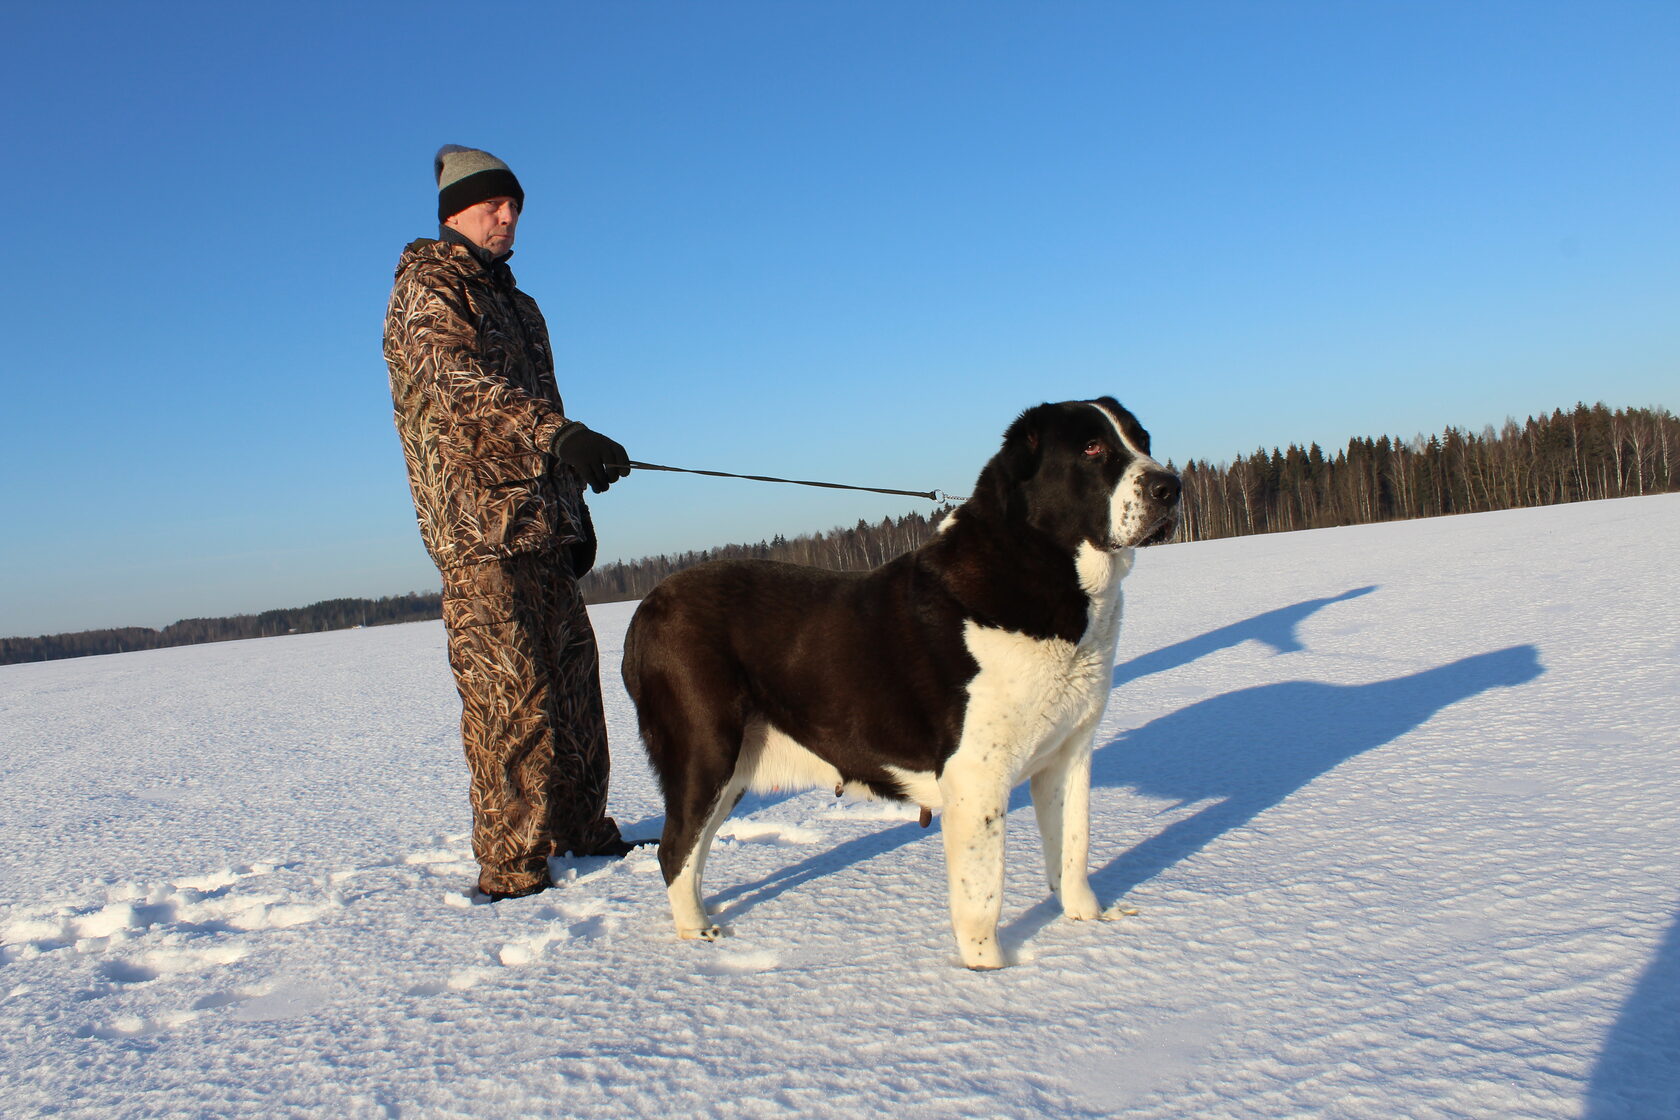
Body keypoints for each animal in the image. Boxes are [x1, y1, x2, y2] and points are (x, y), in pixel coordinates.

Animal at [621, 397, 1182, 967]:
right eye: (1091, 448)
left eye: (1143, 440)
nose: (1170, 486)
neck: (1045, 571)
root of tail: (646, 608)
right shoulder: (975, 775)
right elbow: (983, 888)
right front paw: (990, 971)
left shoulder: (1069, 755)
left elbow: (1074, 846)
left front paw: (1088, 921)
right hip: (705, 751)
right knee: (676, 847)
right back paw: (698, 934)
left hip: (734, 766)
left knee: (692, 847)